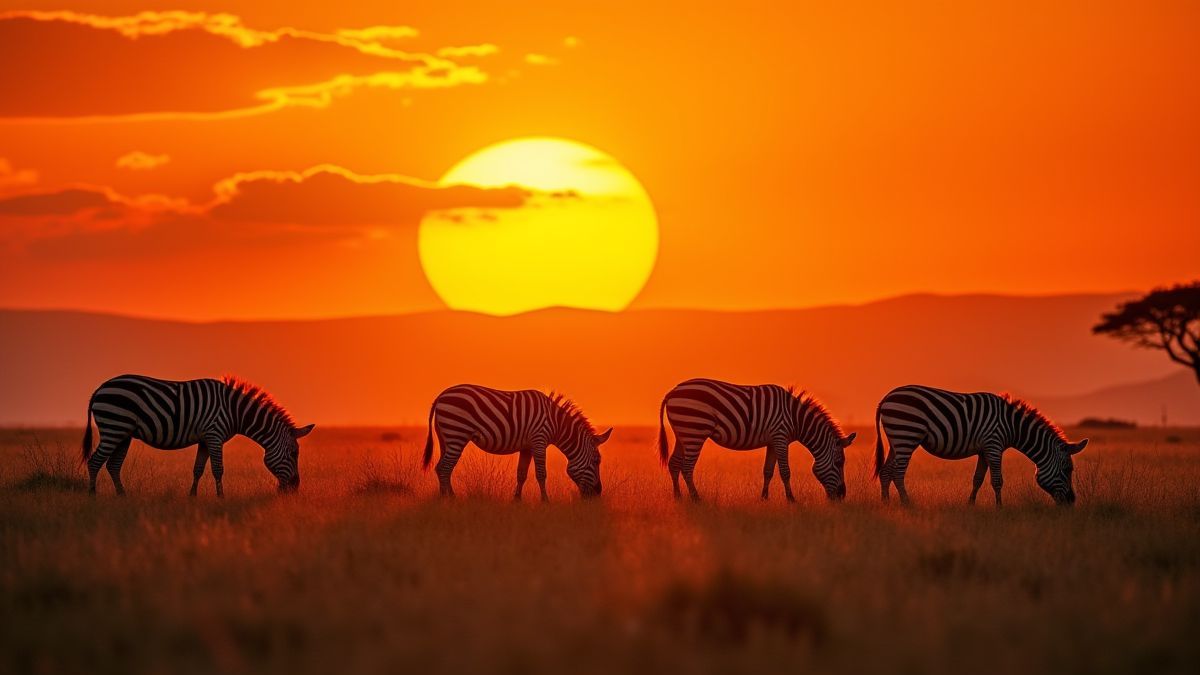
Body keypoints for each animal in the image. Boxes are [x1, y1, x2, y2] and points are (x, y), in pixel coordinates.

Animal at [82, 374, 315, 496]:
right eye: (294, 453)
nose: (295, 488)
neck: (235, 411)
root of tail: (100, 387)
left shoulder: (205, 439)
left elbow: (198, 469)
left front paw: (192, 497)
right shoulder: (214, 435)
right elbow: (218, 469)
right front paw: (221, 498)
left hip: (123, 434)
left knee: (113, 465)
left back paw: (122, 497)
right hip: (114, 427)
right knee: (95, 462)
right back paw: (93, 497)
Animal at [422, 384, 611, 500]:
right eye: (596, 461)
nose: (598, 493)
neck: (557, 424)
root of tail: (440, 396)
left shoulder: (526, 447)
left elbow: (521, 474)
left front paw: (517, 501)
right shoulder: (539, 440)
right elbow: (541, 474)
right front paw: (545, 502)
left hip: (446, 438)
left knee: (441, 468)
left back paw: (444, 499)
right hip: (456, 433)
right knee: (445, 468)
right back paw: (451, 501)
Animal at [656, 378, 856, 502]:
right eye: (839, 463)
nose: (842, 496)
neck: (797, 419)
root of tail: (672, 392)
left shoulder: (773, 441)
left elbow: (768, 471)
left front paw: (764, 498)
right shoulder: (780, 436)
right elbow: (785, 471)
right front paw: (791, 500)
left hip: (682, 434)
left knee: (674, 464)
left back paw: (678, 497)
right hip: (694, 431)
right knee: (686, 467)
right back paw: (696, 498)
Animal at [874, 385, 1088, 506]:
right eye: (1068, 469)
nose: (1071, 502)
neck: (1013, 426)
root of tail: (886, 397)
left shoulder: (984, 450)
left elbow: (977, 479)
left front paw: (971, 505)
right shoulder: (994, 445)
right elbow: (997, 480)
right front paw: (999, 508)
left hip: (896, 439)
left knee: (886, 471)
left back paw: (886, 504)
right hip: (906, 435)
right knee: (897, 473)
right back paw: (906, 504)